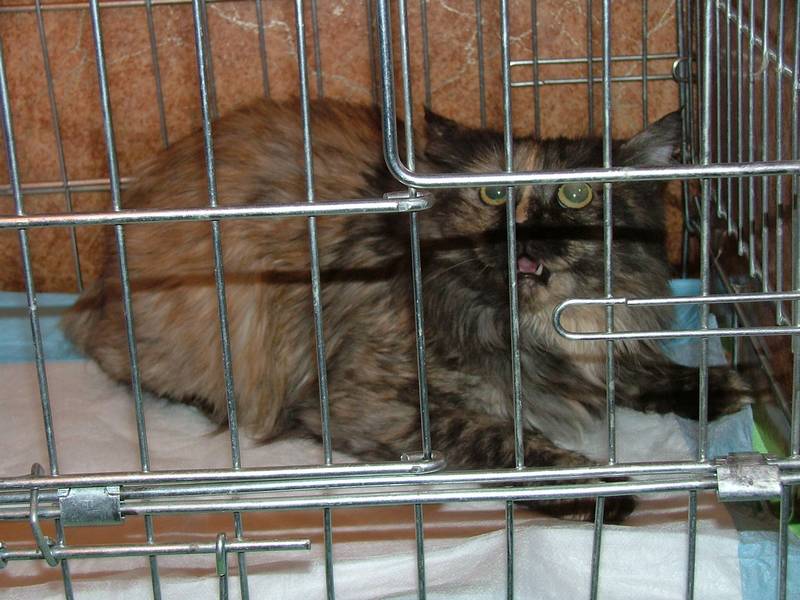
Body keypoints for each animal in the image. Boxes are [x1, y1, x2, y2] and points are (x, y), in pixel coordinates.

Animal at [63, 99, 749, 522]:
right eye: (491, 193)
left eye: (578, 194)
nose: (525, 234)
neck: (532, 328)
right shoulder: (375, 401)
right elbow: (510, 442)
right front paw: (597, 489)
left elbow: (634, 370)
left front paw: (712, 386)